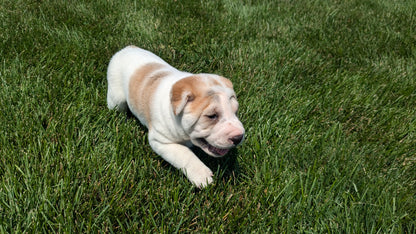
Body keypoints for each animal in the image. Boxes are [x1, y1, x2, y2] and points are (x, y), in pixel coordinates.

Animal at [105, 46, 245, 188]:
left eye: (236, 112)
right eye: (212, 116)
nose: (239, 137)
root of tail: (126, 48)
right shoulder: (162, 141)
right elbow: (185, 154)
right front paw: (202, 176)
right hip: (116, 99)